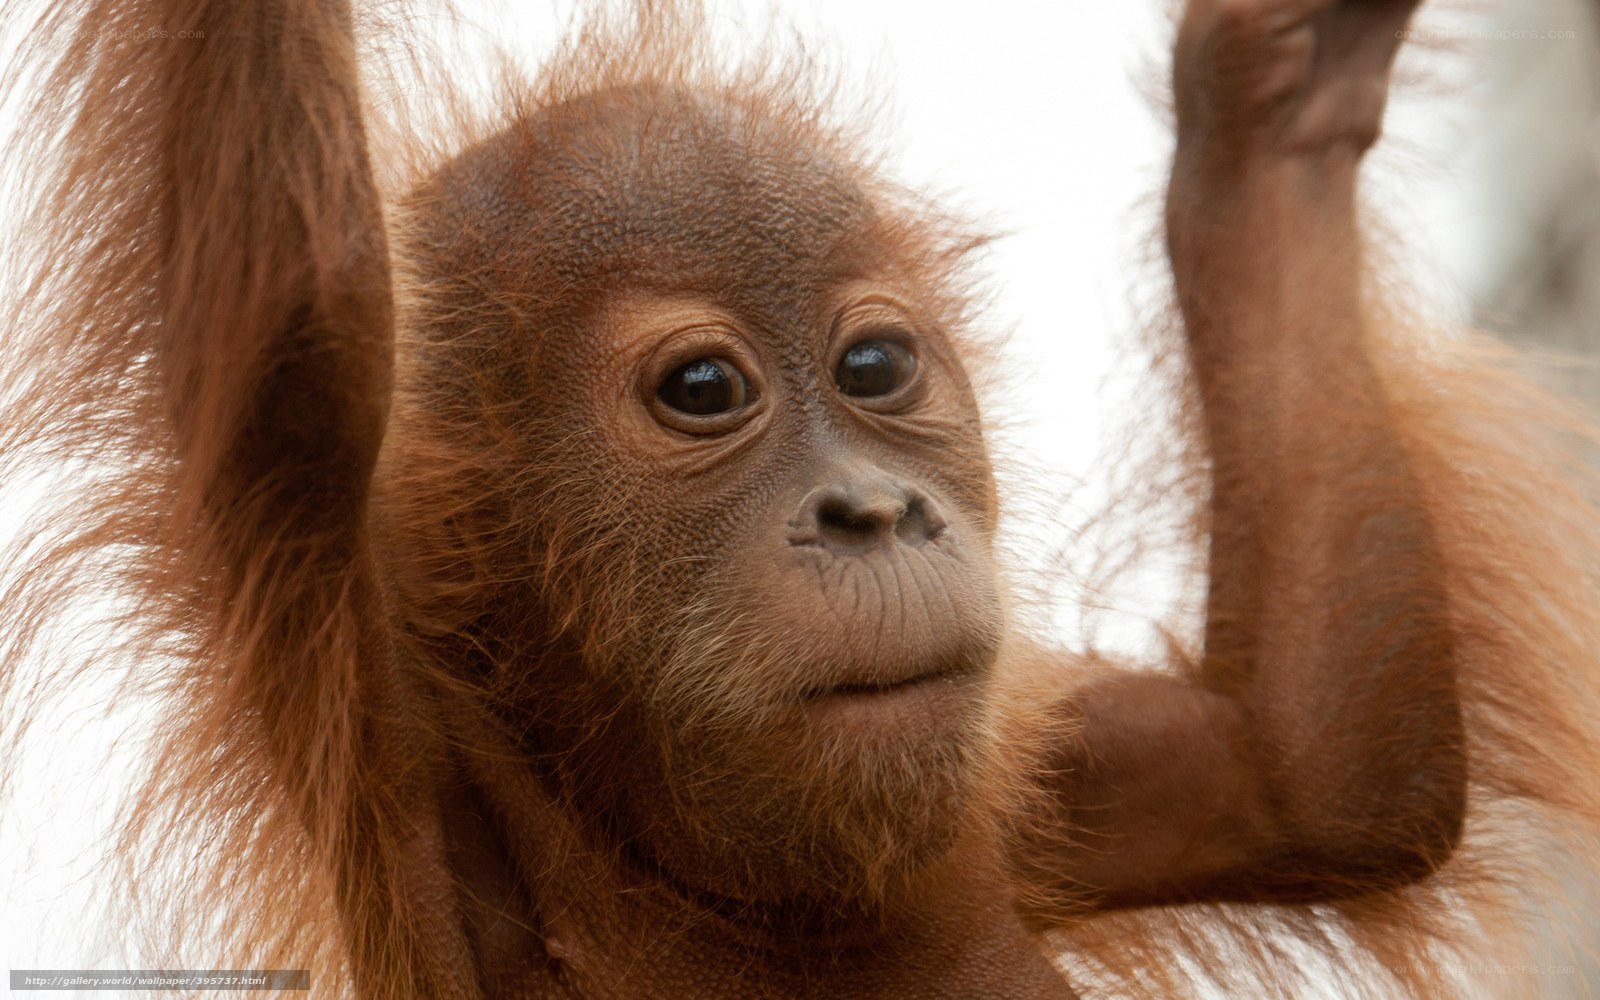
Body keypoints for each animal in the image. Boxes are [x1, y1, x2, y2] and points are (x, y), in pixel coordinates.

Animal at [1, 0, 1598, 997]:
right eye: (705, 391)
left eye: (875, 366)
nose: (872, 512)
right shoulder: (373, 702)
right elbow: (299, 315)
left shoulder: (1017, 767)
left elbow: (1308, 778)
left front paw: (1275, 83)